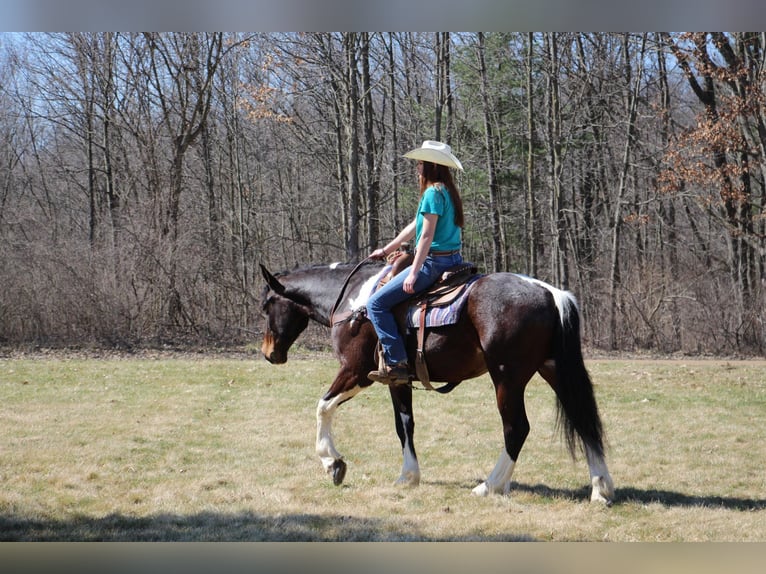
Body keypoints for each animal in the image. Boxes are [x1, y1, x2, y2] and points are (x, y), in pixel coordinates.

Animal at [260, 260, 616, 504]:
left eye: (266, 306)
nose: (268, 353)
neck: (353, 303)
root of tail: (552, 294)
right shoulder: (396, 380)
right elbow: (404, 425)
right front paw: (408, 476)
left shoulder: (356, 371)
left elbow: (323, 407)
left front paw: (332, 463)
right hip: (553, 370)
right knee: (583, 420)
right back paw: (600, 489)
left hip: (507, 377)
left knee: (517, 428)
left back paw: (490, 485)